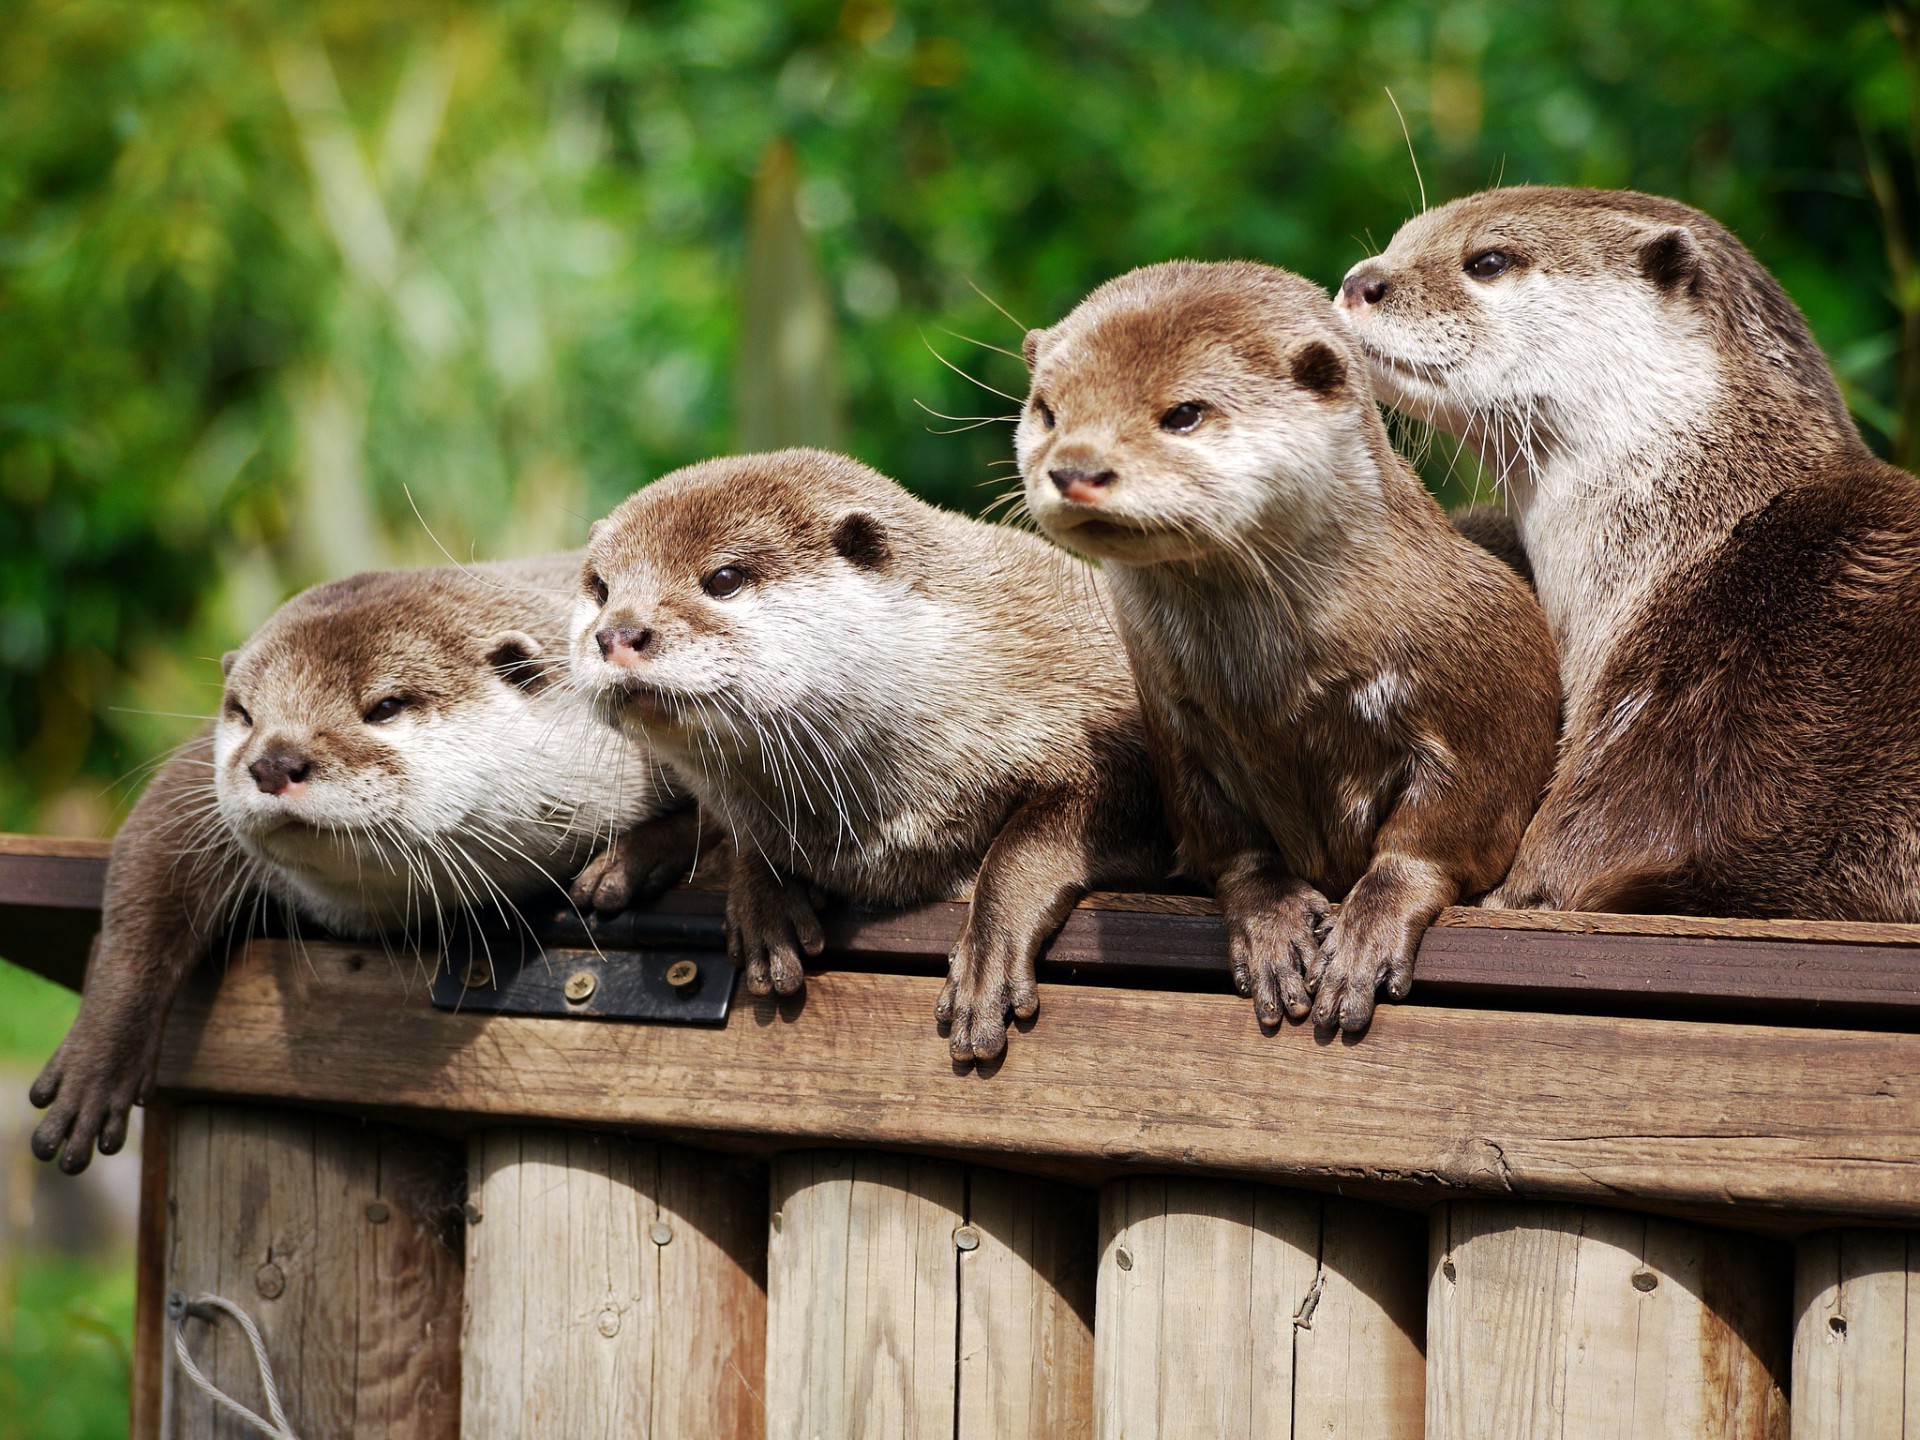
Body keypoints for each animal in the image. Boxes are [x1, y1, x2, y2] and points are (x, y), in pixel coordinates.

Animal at [31, 556, 691, 1175]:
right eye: (244, 713)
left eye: (385, 706)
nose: (274, 761)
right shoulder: (194, 781)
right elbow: (149, 870)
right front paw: (94, 1065)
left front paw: (627, 863)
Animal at [564, 451, 1167, 1059]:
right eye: (601, 588)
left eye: (724, 579)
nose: (618, 634)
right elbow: (742, 832)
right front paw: (764, 902)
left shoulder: (1109, 722)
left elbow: (1032, 841)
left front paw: (985, 959)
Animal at [1021, 257, 1559, 1029]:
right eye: (1047, 411)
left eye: (1183, 413)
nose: (1076, 469)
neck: (1278, 698)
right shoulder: (1175, 725)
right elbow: (1227, 843)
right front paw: (1269, 923)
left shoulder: (1490, 693)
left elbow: (1439, 836)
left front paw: (1367, 931)